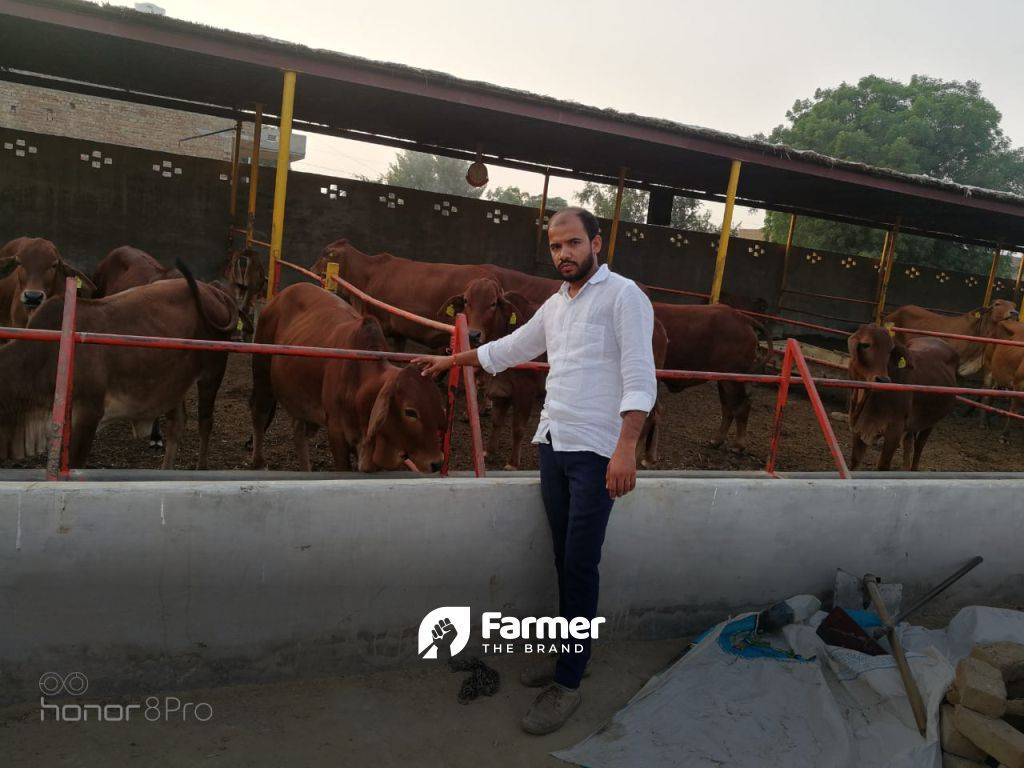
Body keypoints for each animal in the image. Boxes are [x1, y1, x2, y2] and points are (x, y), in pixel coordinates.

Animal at [0, 264, 235, 468]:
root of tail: (214, 291)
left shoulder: (88, 415)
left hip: (213, 372)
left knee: (205, 422)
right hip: (173, 381)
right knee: (176, 424)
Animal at [249, 284, 446, 475]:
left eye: (437, 406)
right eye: (410, 412)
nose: (437, 463)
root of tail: (279, 297)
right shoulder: (336, 432)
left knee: (299, 432)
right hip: (262, 375)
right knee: (260, 414)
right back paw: (259, 462)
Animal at [655, 303, 770, 454]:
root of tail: (741, 317)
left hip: (732, 381)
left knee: (741, 406)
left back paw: (738, 445)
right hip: (723, 380)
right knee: (728, 408)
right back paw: (717, 440)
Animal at [843, 323, 954, 473]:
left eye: (890, 350)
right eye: (865, 345)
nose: (883, 380)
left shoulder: (894, 430)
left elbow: (883, 466)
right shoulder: (858, 427)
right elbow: (854, 461)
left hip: (932, 421)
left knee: (919, 447)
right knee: (908, 442)